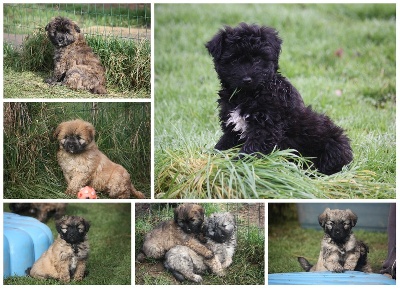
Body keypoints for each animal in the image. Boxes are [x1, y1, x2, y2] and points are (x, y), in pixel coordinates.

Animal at [206, 22, 354, 174]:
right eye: (234, 59)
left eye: (258, 59)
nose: (247, 79)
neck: (248, 95)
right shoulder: (232, 128)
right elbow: (223, 145)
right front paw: (212, 159)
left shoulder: (265, 129)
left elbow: (249, 151)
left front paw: (234, 166)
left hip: (333, 141)